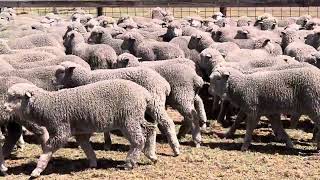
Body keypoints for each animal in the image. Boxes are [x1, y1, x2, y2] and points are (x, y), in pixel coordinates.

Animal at [4, 80, 159, 177]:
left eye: (17, 97)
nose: (4, 107)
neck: (48, 105)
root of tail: (145, 93)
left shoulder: (61, 129)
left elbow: (48, 148)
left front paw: (37, 170)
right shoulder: (80, 130)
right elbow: (85, 145)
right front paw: (93, 162)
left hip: (129, 118)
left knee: (138, 140)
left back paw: (129, 163)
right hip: (135, 117)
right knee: (150, 129)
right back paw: (151, 155)